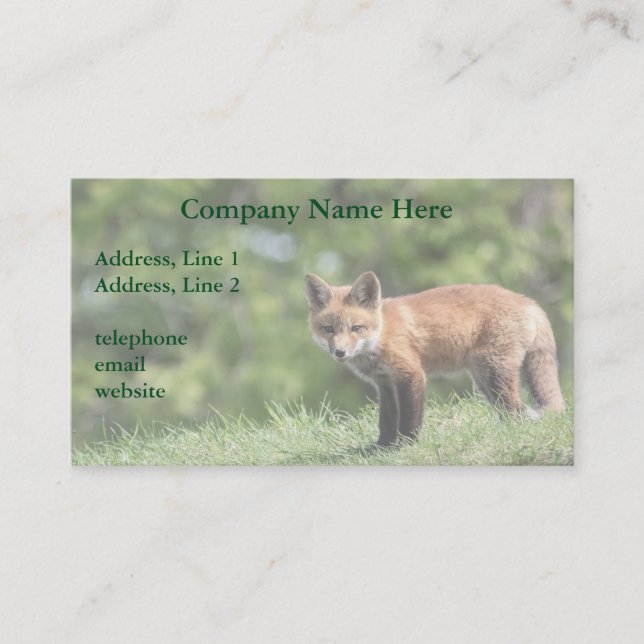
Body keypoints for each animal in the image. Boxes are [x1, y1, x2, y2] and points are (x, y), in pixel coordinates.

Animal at [305, 272, 565, 446]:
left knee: (514, 409)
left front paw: (406, 446)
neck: (381, 334)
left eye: (356, 328)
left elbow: (410, 417)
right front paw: (381, 447)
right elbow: (386, 420)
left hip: (493, 371)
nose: (340, 352)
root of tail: (529, 302)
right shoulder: (385, 383)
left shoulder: (411, 374)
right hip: (483, 379)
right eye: (328, 329)